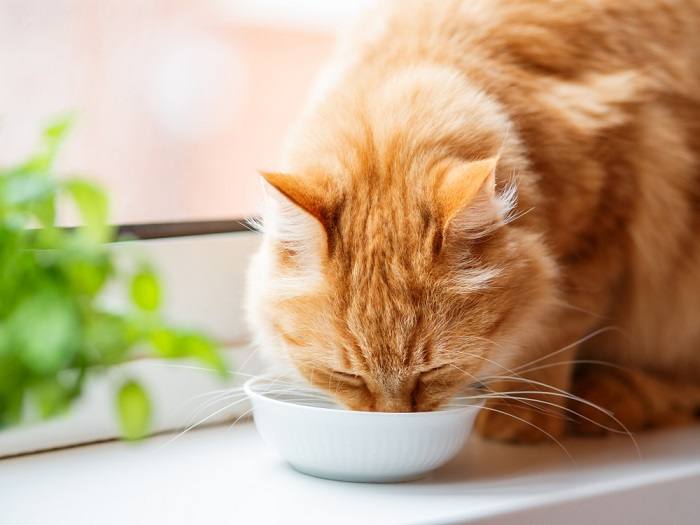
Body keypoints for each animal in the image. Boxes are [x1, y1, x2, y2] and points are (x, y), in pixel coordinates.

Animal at [245, 0, 700, 442]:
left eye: (434, 372)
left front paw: (520, 413)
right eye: (347, 376)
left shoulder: (607, 208)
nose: (394, 419)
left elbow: (551, 329)